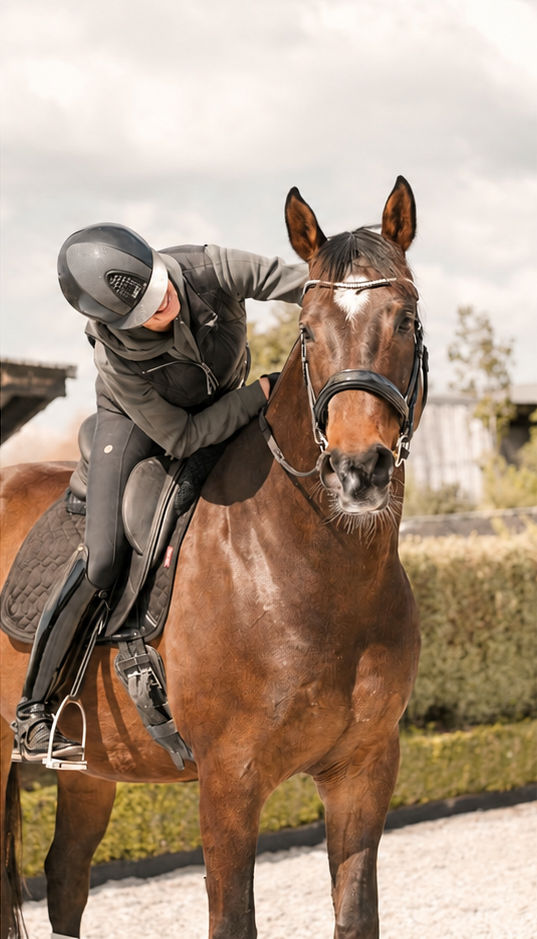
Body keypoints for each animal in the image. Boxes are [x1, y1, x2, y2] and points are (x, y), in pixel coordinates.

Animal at [1, 175, 427, 939]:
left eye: (405, 319)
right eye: (307, 329)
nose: (358, 471)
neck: (314, 572)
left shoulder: (365, 770)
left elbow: (356, 915)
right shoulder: (229, 782)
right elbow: (232, 918)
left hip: (92, 768)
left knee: (66, 875)